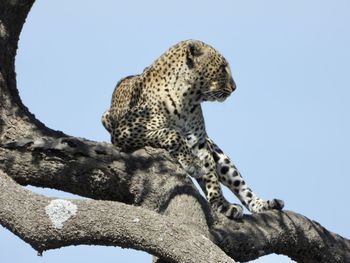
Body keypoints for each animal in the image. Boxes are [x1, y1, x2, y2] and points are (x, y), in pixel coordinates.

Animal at [102, 39, 284, 220]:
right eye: (222, 67)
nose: (234, 87)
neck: (187, 98)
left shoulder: (200, 142)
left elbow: (210, 174)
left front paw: (221, 203)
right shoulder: (125, 132)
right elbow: (171, 133)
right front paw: (191, 163)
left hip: (219, 153)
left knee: (240, 185)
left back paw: (264, 204)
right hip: (106, 117)